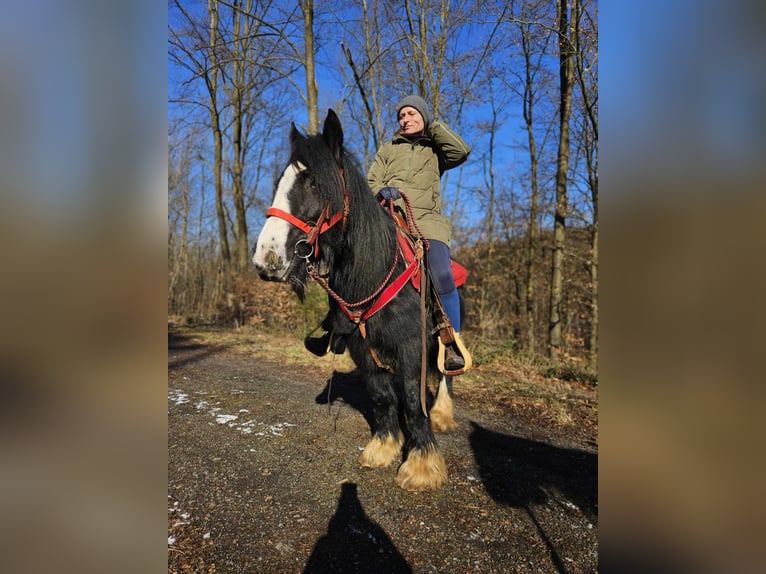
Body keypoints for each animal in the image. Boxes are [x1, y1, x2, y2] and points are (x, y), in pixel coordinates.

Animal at [252, 110, 460, 492]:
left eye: (314, 183)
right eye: (279, 182)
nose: (267, 259)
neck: (375, 271)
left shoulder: (412, 345)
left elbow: (413, 400)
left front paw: (421, 465)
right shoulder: (363, 347)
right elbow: (383, 396)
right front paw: (383, 448)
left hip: (441, 339)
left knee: (445, 371)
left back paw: (441, 413)